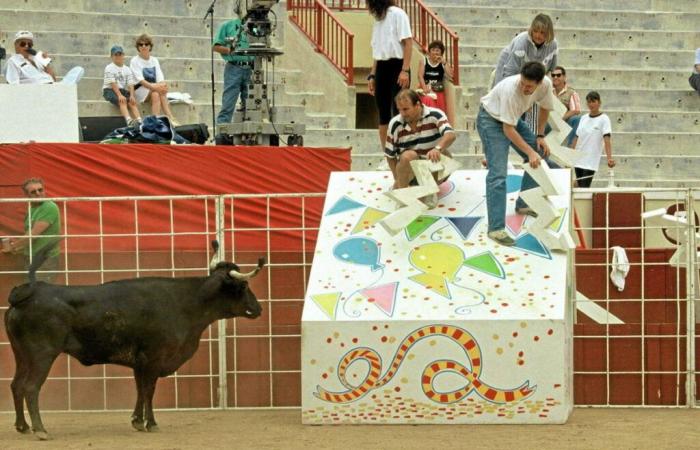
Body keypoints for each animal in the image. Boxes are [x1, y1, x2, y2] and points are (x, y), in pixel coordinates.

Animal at [4, 251, 266, 442]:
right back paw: (40, 430)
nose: (259, 308)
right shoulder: (154, 359)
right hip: (42, 355)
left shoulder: (140, 362)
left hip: (21, 355)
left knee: (16, 385)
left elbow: (140, 389)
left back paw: (23, 426)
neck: (186, 303)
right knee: (30, 388)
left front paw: (138, 421)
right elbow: (149, 390)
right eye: (243, 287)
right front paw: (152, 423)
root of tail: (28, 292)